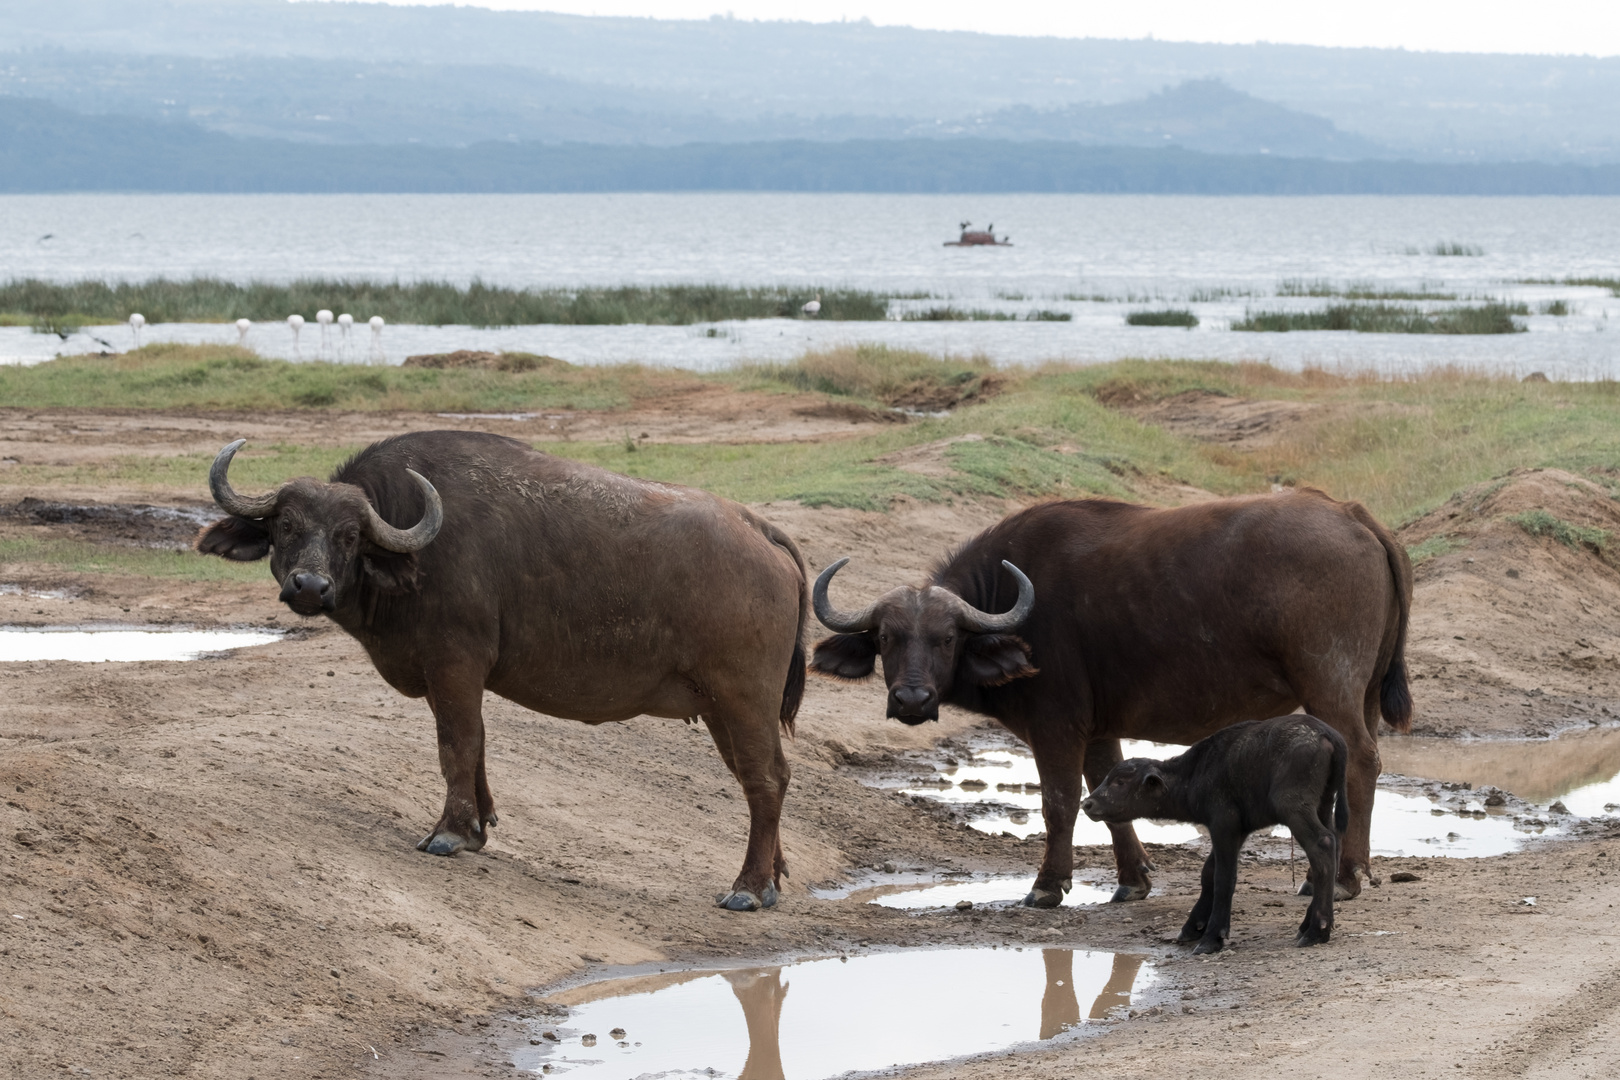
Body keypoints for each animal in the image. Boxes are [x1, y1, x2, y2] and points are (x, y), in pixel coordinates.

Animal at [199, 430, 806, 913]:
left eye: (349, 536)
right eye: (286, 525)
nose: (310, 586)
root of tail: (758, 527)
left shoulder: (454, 664)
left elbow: (457, 744)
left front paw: (449, 833)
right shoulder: (453, 676)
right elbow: (479, 743)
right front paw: (478, 824)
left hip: (744, 699)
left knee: (766, 779)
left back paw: (748, 888)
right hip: (720, 710)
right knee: (760, 780)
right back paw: (773, 875)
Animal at [816, 488, 1412, 906]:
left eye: (946, 638)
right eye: (887, 638)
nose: (912, 699)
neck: (1015, 607)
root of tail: (1351, 514)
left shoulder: (1056, 726)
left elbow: (1058, 803)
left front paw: (1046, 886)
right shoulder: (1099, 730)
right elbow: (1107, 794)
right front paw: (1132, 881)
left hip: (1329, 684)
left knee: (1362, 760)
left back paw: (1345, 878)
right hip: (1362, 695)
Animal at [1082, 718, 1347, 952]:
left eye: (1119, 782)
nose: (1088, 804)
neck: (1196, 773)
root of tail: (1329, 734)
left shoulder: (1223, 823)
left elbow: (1223, 877)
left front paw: (1211, 938)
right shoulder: (1238, 830)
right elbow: (1208, 873)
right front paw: (1192, 926)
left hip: (1293, 807)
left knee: (1322, 844)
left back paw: (1316, 931)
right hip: (1323, 804)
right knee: (1333, 843)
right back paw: (1308, 926)